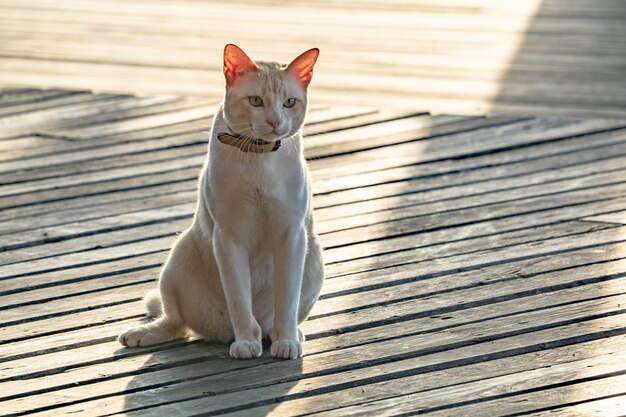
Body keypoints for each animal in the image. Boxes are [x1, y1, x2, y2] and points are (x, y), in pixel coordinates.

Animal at [117, 44, 324, 358]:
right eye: (255, 101)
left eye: (289, 102)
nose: (275, 121)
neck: (258, 156)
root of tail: (221, 333)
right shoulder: (228, 237)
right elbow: (238, 298)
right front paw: (246, 342)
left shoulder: (291, 234)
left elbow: (286, 300)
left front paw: (286, 341)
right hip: (178, 256)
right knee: (176, 323)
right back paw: (143, 334)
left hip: (314, 258)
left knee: (271, 322)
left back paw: (287, 335)